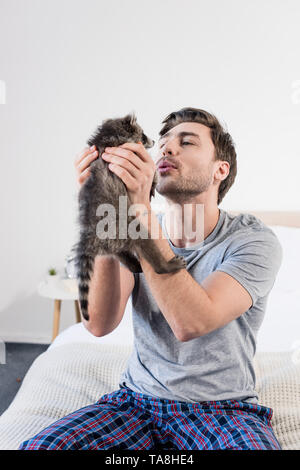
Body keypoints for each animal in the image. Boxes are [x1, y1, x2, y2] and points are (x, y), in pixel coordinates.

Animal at [72, 112, 185, 322]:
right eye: (143, 134)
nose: (154, 140)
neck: (104, 137)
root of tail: (90, 231)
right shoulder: (126, 148)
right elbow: (152, 170)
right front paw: (152, 183)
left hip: (113, 236)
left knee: (118, 251)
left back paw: (129, 261)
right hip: (122, 226)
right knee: (144, 239)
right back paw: (163, 266)